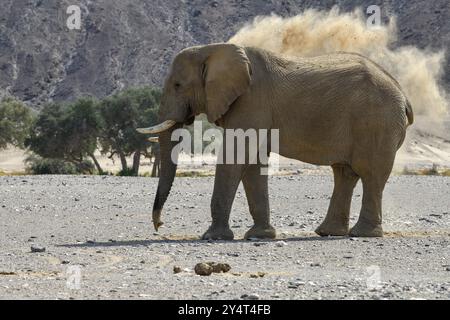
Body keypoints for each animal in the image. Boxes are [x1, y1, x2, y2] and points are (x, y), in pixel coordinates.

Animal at [138, 43, 414, 240]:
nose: (159, 225)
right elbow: (253, 164)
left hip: (377, 123)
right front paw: (260, 236)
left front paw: (212, 237)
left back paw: (363, 234)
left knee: (370, 174)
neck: (213, 49)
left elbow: (236, 157)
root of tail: (403, 94)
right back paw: (327, 232)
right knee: (344, 173)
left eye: (177, 85)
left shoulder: (251, 101)